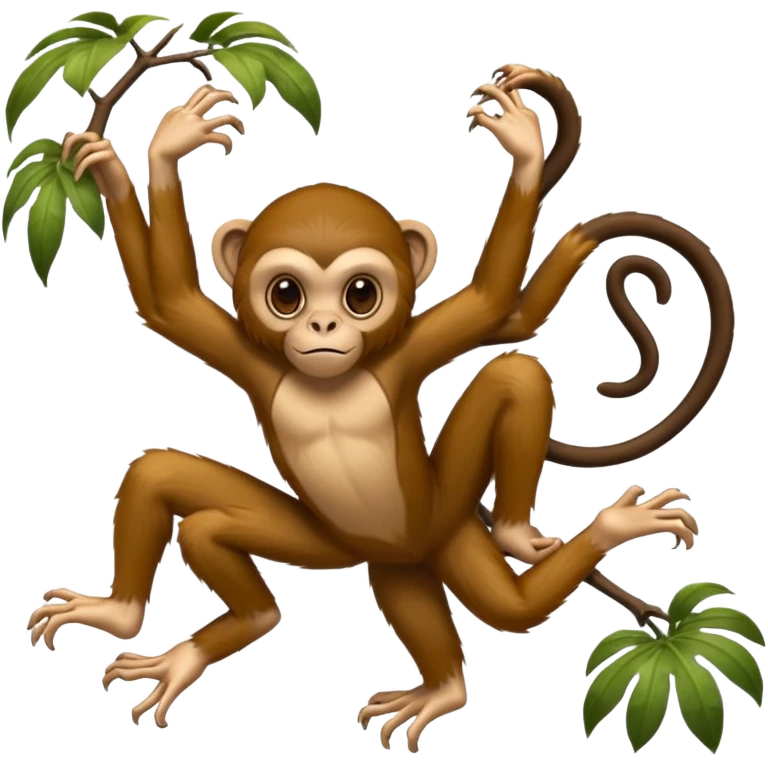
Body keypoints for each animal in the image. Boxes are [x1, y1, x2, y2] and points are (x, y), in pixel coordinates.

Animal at [25, 64, 731, 752]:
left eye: (360, 293)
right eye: (286, 294)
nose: (323, 326)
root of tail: (421, 543)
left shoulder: (404, 355)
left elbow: (497, 304)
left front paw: (526, 153)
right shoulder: (257, 362)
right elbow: (167, 303)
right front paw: (130, 158)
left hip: (444, 509)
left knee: (514, 493)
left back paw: (525, 536)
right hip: (344, 548)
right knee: (177, 493)